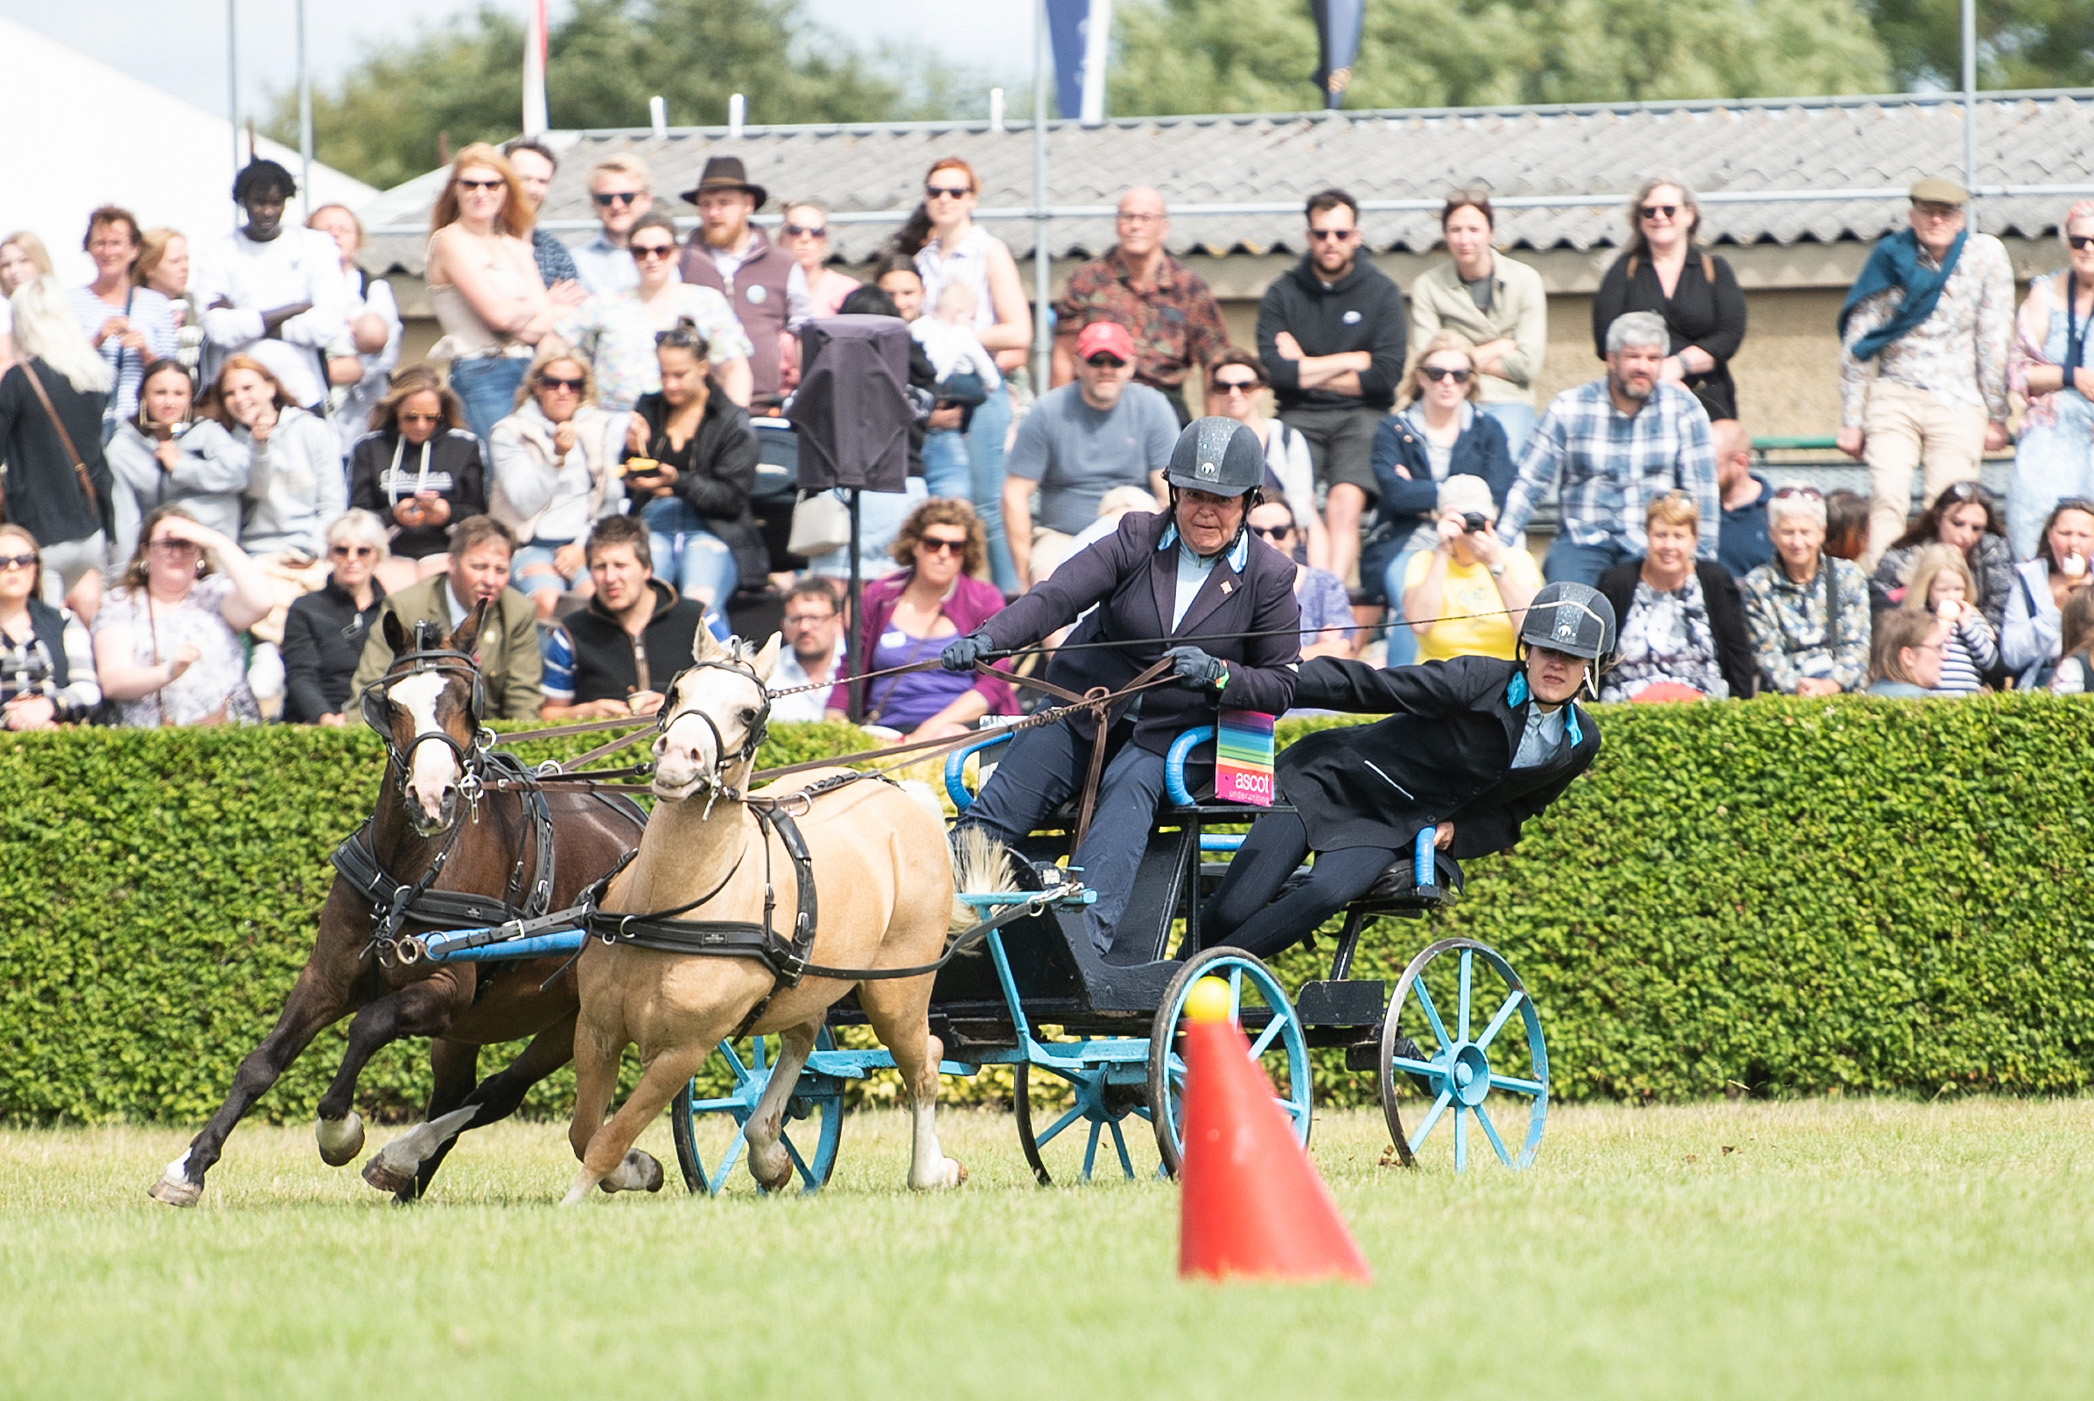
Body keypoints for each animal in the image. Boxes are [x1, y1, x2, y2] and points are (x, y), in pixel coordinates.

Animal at [149, 607, 644, 1206]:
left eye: (466, 699)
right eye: (390, 704)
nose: (432, 799)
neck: (411, 869)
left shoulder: (447, 990)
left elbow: (370, 1023)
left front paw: (338, 1129)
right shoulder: (327, 978)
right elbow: (262, 1063)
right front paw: (189, 1167)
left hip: (570, 1020)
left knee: (497, 1093)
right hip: (471, 1030)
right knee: (458, 1095)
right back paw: (406, 1183)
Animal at [561, 632, 975, 1206]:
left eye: (748, 711)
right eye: (677, 691)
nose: (677, 756)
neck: (665, 910)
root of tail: (899, 793)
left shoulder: (683, 1052)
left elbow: (607, 1139)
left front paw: (573, 1201)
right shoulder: (596, 1030)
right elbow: (584, 1132)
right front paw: (641, 1168)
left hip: (897, 992)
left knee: (925, 1063)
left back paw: (930, 1170)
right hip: (811, 979)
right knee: (804, 1036)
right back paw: (767, 1150)